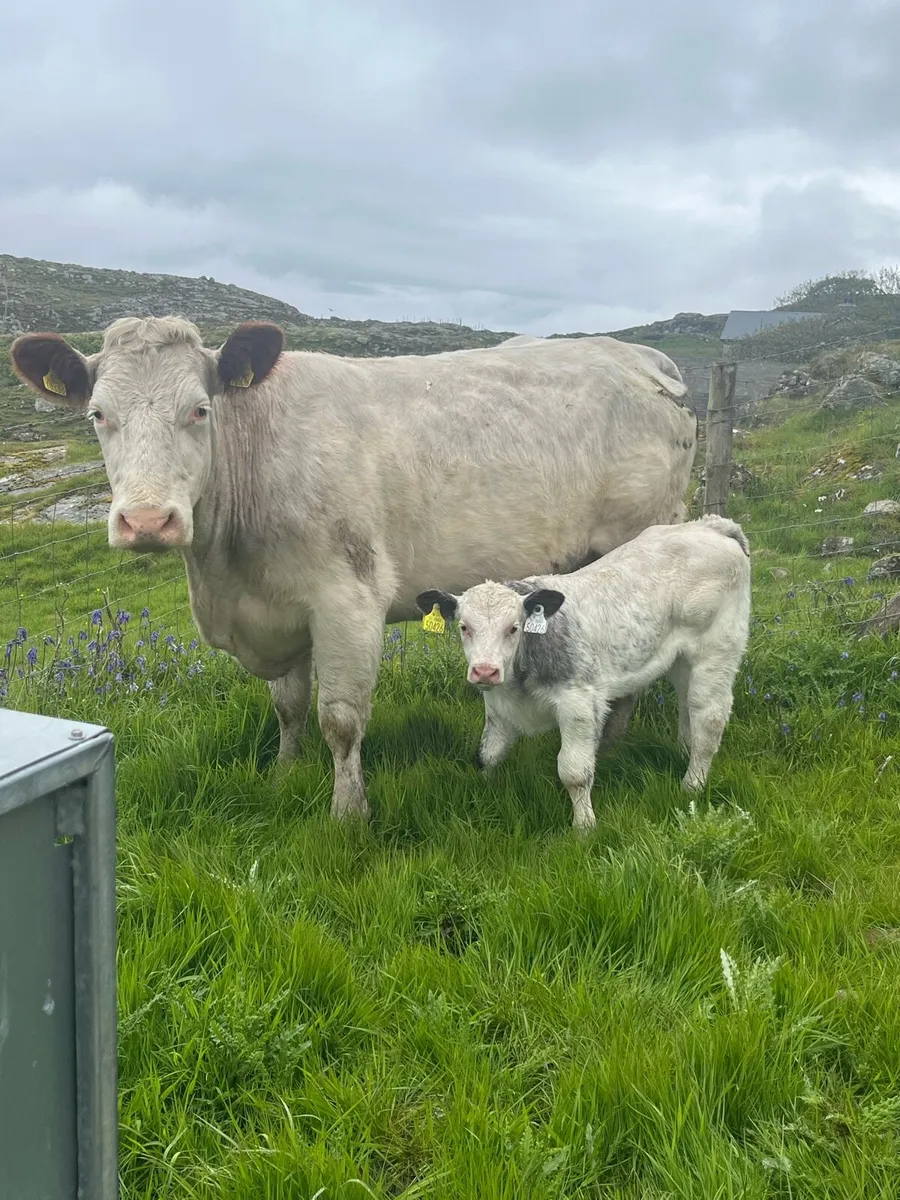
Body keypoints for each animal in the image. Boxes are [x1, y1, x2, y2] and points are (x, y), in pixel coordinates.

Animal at [11, 317, 698, 821]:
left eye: (200, 409)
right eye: (98, 414)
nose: (148, 520)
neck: (225, 572)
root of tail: (639, 356)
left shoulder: (347, 600)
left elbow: (340, 719)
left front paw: (348, 812)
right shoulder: (277, 613)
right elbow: (288, 707)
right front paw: (284, 773)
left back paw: (612, 743)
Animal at [416, 515, 751, 831]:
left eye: (513, 628)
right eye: (464, 627)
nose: (485, 671)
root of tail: (710, 526)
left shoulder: (579, 704)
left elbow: (574, 772)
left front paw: (584, 827)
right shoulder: (498, 705)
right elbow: (489, 752)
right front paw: (484, 791)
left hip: (717, 649)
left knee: (708, 715)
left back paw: (692, 784)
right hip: (680, 659)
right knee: (687, 704)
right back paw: (684, 752)